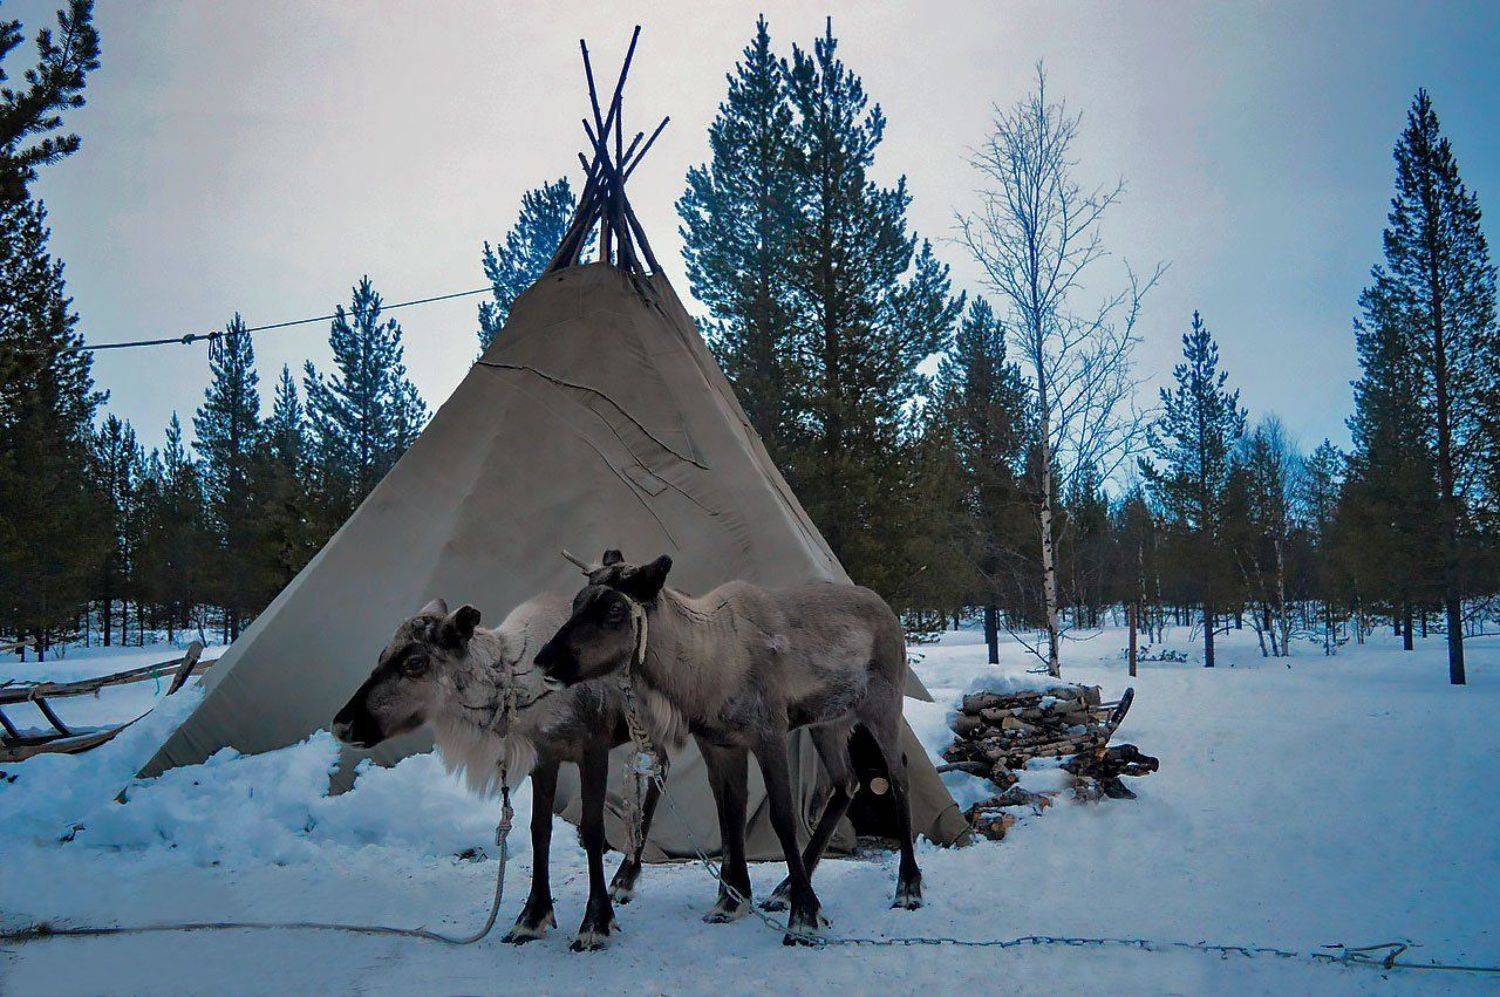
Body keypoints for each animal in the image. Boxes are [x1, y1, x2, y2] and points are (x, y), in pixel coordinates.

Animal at [332, 594, 671, 951]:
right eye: (381, 655)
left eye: (414, 662)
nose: (342, 725)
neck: (521, 689)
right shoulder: (545, 756)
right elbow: (539, 830)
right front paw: (531, 918)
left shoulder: (594, 746)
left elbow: (592, 830)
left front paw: (594, 924)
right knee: (659, 766)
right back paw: (625, 876)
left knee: (662, 767)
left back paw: (625, 879)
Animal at [535, 550, 923, 946]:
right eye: (576, 602)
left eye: (615, 608)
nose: (544, 659)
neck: (704, 671)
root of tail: (888, 610)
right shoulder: (719, 744)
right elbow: (729, 814)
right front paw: (732, 900)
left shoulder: (770, 734)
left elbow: (782, 818)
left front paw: (804, 918)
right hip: (828, 722)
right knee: (847, 781)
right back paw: (784, 889)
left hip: (883, 704)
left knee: (899, 775)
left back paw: (907, 887)